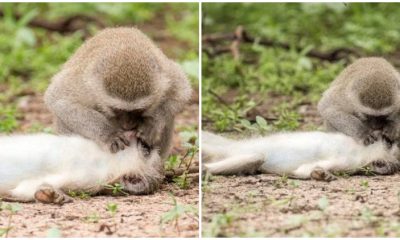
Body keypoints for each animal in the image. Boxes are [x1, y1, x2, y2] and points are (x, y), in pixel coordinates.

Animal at [0, 130, 162, 203]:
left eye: (146, 149)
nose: (136, 134)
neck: (109, 160)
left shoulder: (90, 179)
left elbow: (24, 190)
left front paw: (52, 196)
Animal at [44, 27, 193, 160]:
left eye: (139, 110)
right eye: (117, 109)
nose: (128, 126)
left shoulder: (165, 74)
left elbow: (182, 91)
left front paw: (152, 123)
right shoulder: (84, 84)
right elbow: (58, 100)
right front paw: (109, 134)